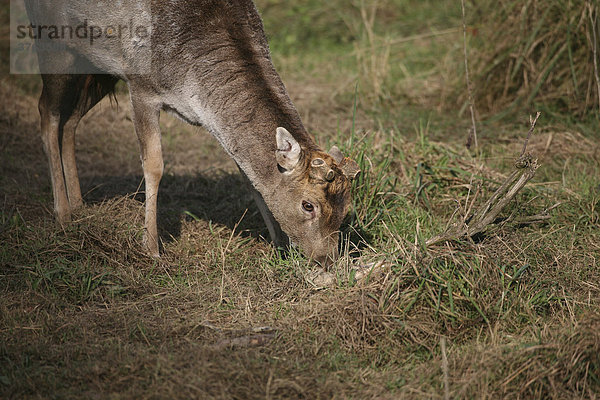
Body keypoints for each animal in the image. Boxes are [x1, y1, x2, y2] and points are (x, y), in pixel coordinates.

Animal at [23, 0, 358, 268]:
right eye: (308, 205)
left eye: (346, 209)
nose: (327, 260)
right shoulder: (141, 86)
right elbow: (154, 165)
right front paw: (152, 249)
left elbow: (251, 178)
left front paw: (278, 247)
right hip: (55, 42)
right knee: (47, 113)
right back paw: (63, 215)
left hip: (97, 68)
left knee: (71, 119)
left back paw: (80, 206)